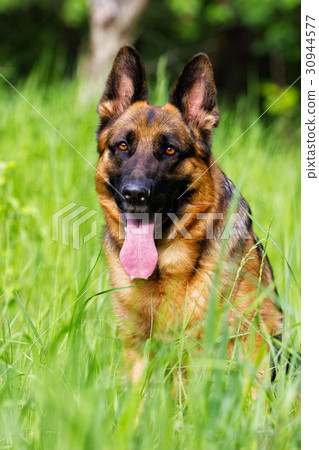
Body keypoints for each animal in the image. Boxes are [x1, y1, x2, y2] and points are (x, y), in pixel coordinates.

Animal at [95, 44, 282, 384]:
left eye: (170, 150)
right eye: (123, 146)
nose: (134, 194)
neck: (167, 271)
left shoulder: (249, 346)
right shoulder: (137, 353)